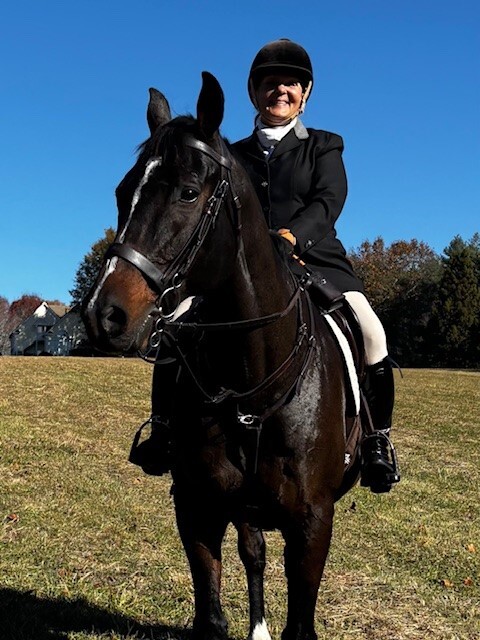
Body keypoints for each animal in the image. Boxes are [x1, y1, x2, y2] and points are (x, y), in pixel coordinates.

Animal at [82, 72, 364, 640]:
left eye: (189, 193)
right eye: (123, 192)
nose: (105, 315)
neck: (252, 382)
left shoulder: (313, 523)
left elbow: (301, 623)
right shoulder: (198, 508)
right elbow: (211, 612)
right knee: (253, 552)